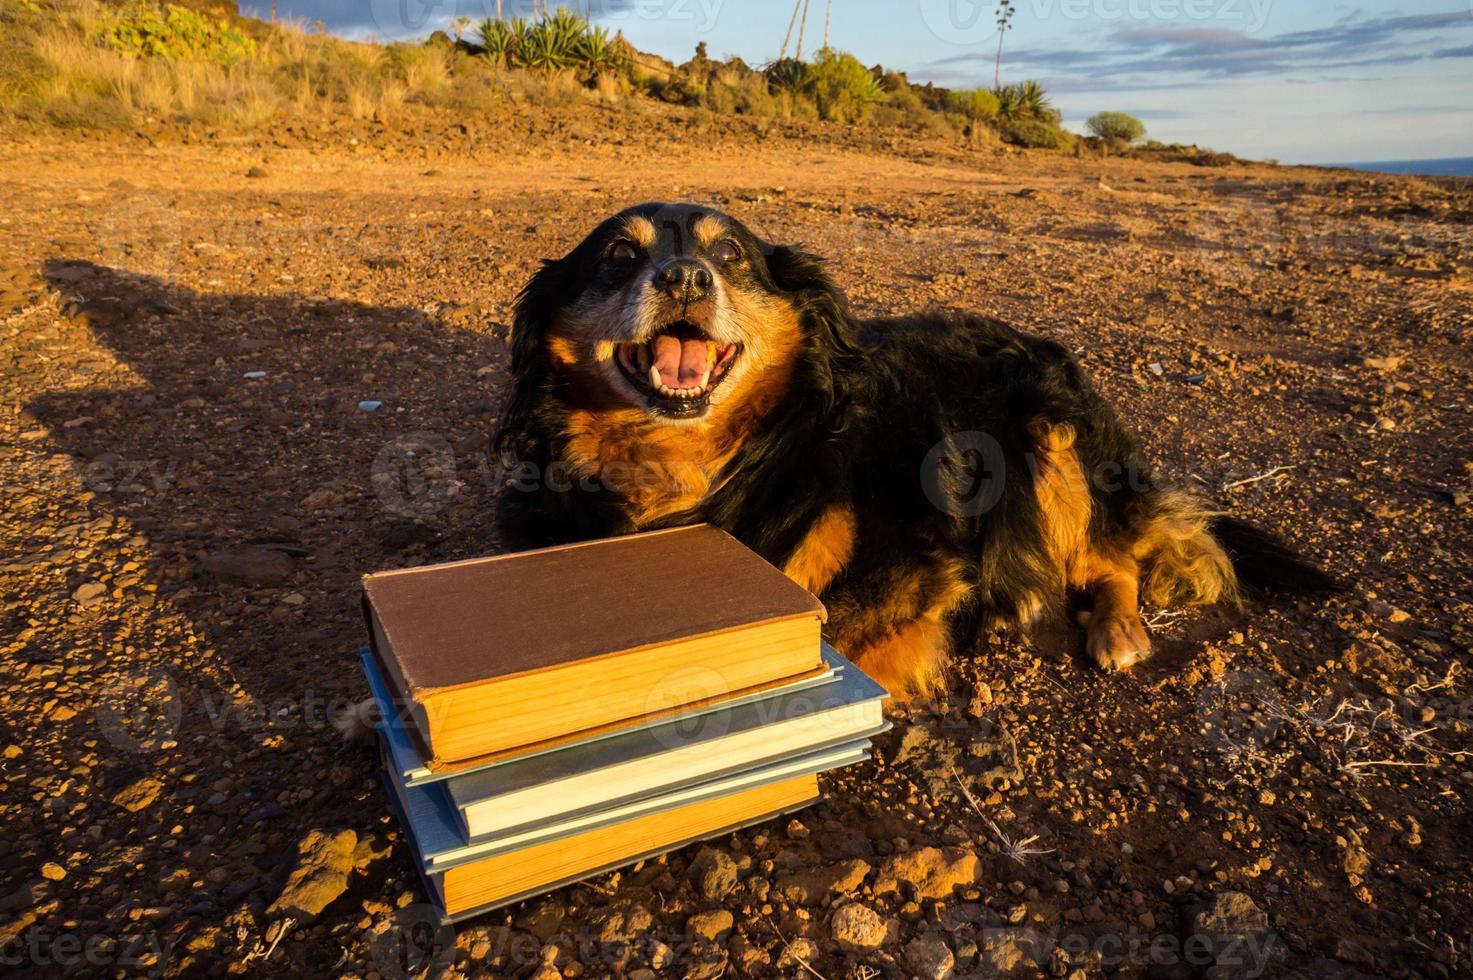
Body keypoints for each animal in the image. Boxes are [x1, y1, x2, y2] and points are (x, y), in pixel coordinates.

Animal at [494, 201, 1337, 698]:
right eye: (616, 256)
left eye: (730, 254)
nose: (683, 278)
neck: (690, 465)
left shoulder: (907, 565)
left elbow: (824, 633)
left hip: (1049, 438)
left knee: (1113, 555)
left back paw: (1117, 627)